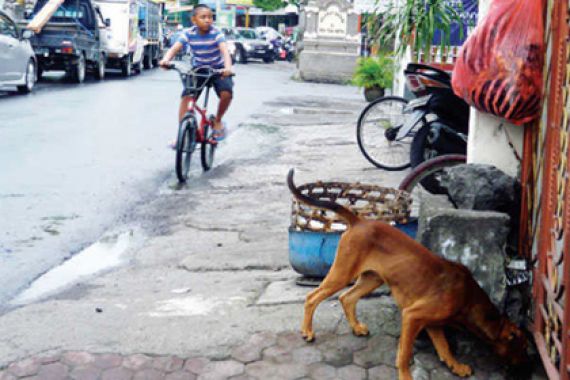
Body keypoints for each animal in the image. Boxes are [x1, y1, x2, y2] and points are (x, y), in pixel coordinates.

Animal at [288, 170, 528, 380]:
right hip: (342, 273)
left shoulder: (433, 322)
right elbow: (405, 353)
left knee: (346, 298)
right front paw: (405, 375)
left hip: (372, 278)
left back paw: (356, 327)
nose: (526, 368)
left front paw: (456, 366)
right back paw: (307, 331)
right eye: (523, 348)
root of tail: (359, 221)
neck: (469, 298)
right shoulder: (412, 316)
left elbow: (444, 348)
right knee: (312, 298)